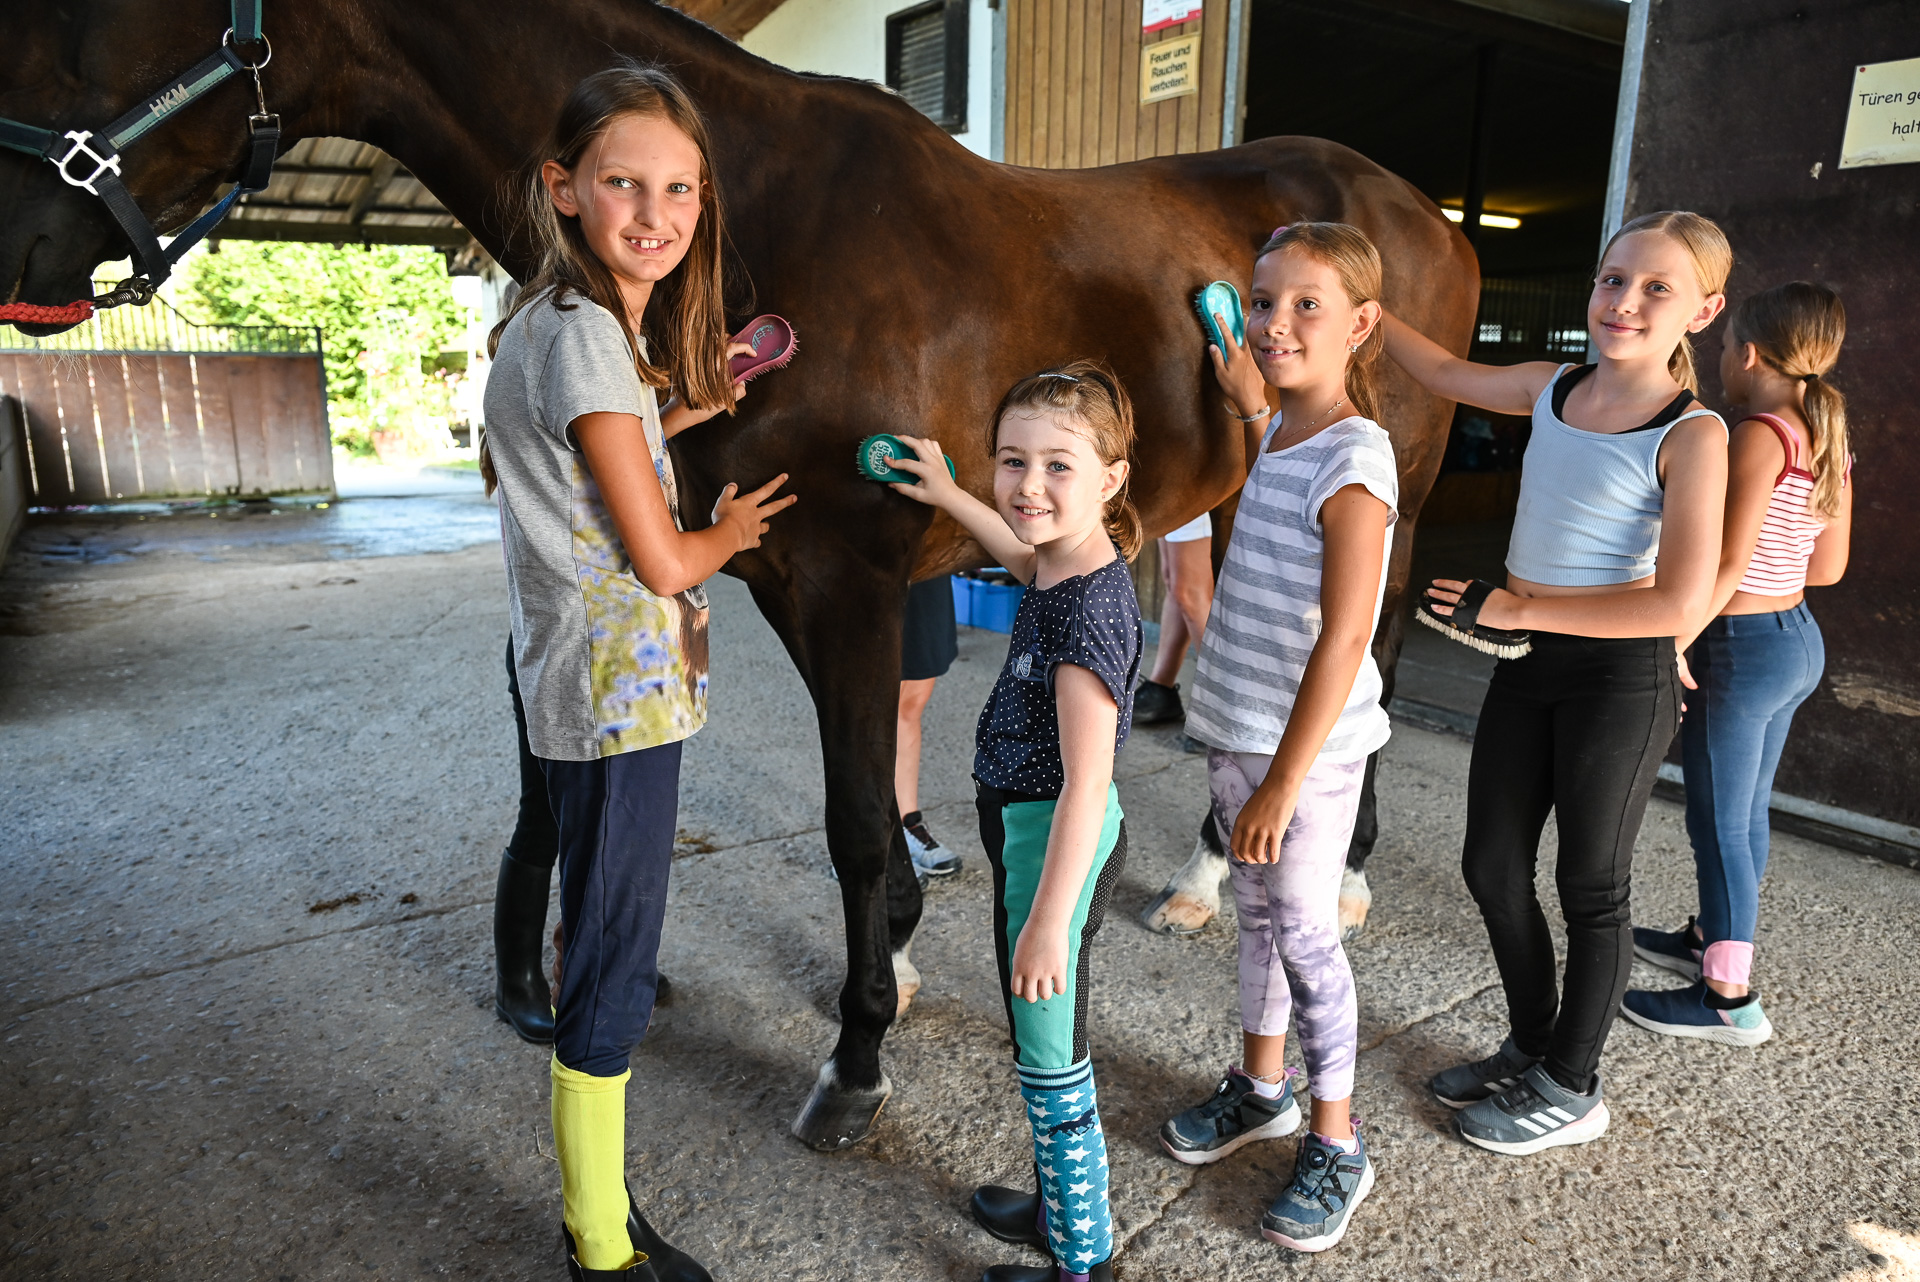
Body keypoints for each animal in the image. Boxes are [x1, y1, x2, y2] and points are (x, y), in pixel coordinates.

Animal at [0, 0, 1476, 1151]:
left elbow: (857, 826)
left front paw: (858, 1059)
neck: (770, 213)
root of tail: (1426, 214)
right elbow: (864, 818)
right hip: (1242, 491)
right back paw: (1205, 877)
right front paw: (893, 964)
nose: (19, 250)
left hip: (1387, 488)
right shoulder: (780, 577)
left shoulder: (851, 580)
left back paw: (1339, 872)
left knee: (1369, 652)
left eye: (85, 5)